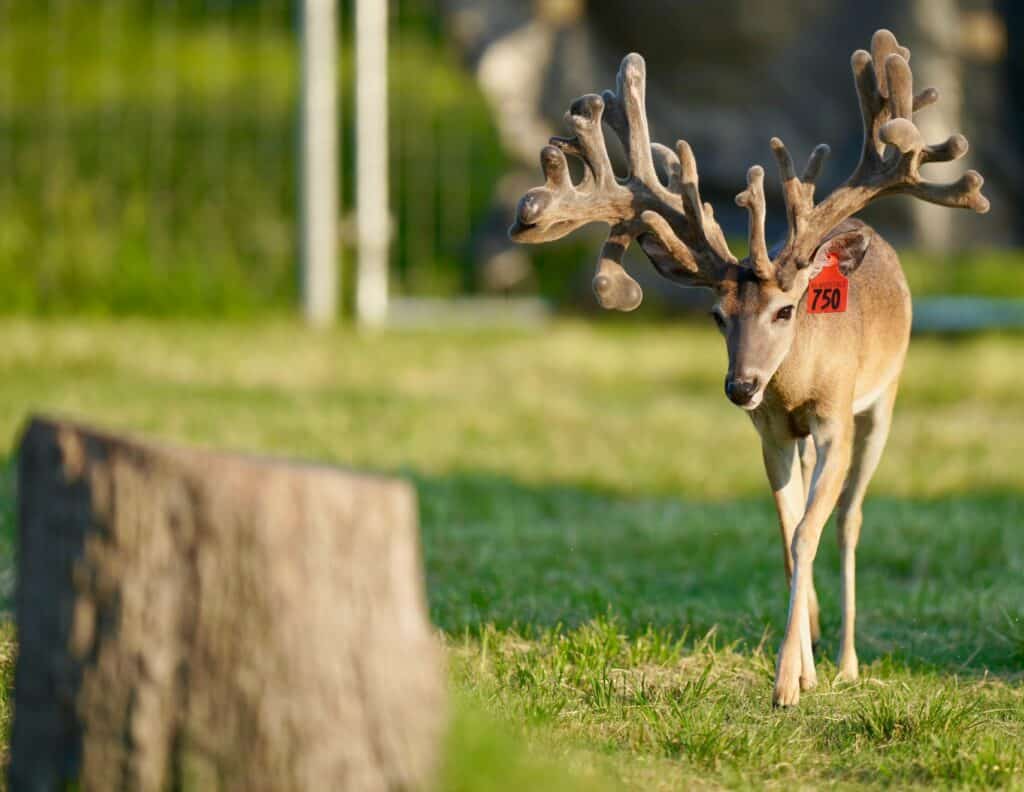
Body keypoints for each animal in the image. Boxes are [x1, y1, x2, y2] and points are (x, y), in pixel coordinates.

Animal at [507, 29, 989, 706]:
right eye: (716, 315)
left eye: (787, 309)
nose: (740, 385)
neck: (797, 383)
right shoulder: (771, 432)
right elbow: (788, 538)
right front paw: (800, 665)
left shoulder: (836, 416)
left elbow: (811, 531)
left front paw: (790, 682)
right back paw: (819, 634)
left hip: (885, 398)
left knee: (851, 518)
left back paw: (848, 660)